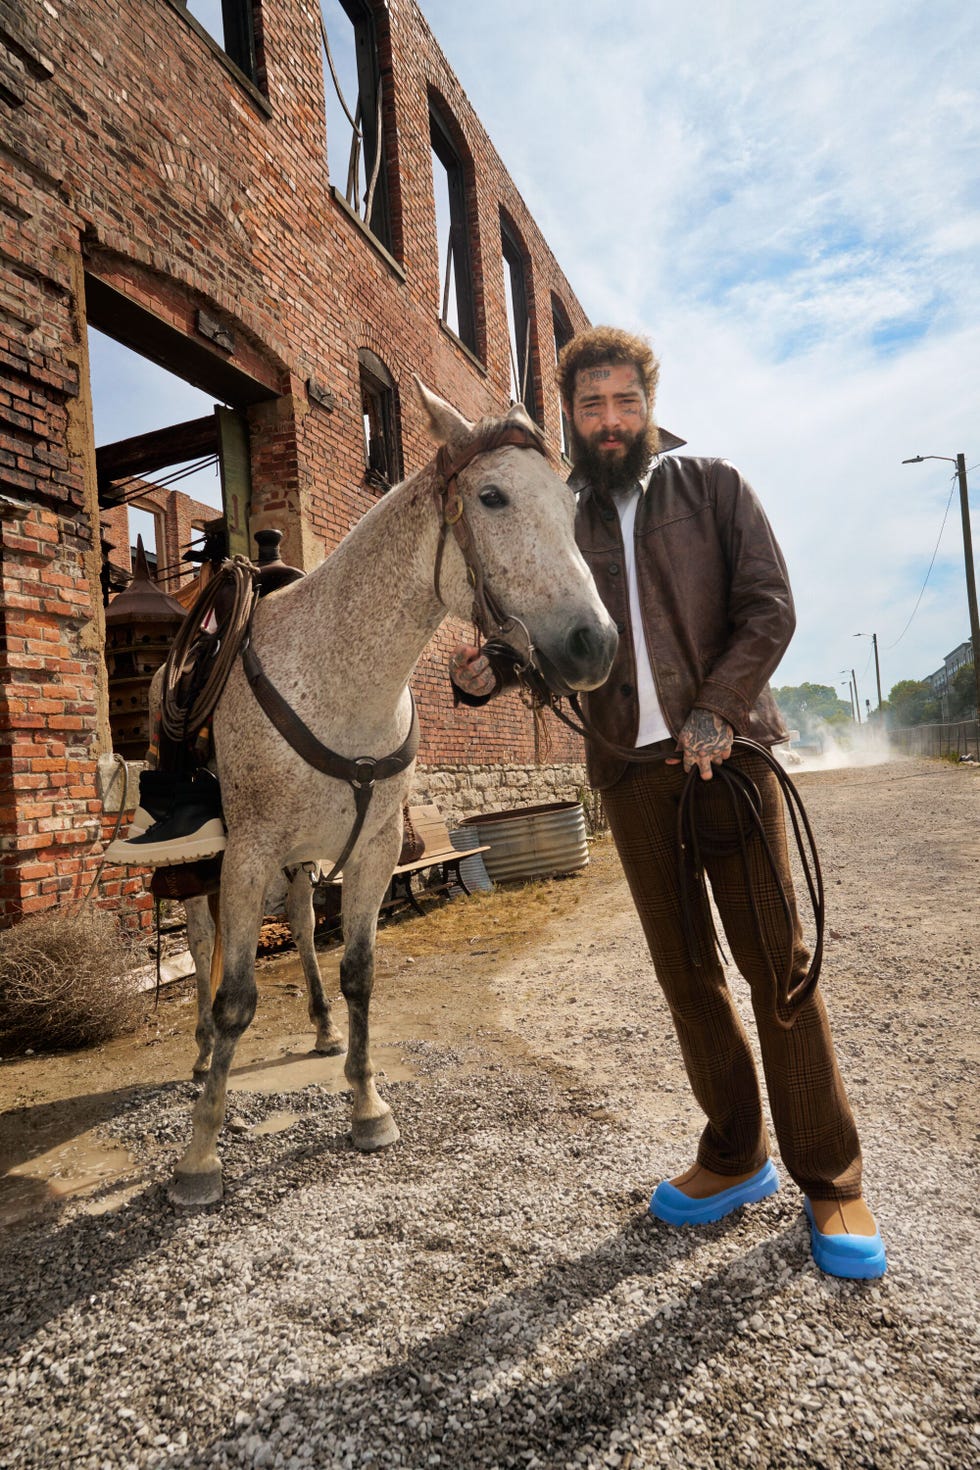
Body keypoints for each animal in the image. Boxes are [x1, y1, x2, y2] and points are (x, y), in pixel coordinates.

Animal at [167, 388, 614, 1205]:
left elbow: (359, 973)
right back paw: (202, 1050)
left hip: (303, 862)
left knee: (302, 925)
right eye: (492, 496)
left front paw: (367, 1106)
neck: (339, 676)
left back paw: (317, 1027)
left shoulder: (371, 853)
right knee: (201, 940)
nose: (593, 644)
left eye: (569, 511)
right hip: (206, 864)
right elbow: (237, 997)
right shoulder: (246, 854)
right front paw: (201, 1154)